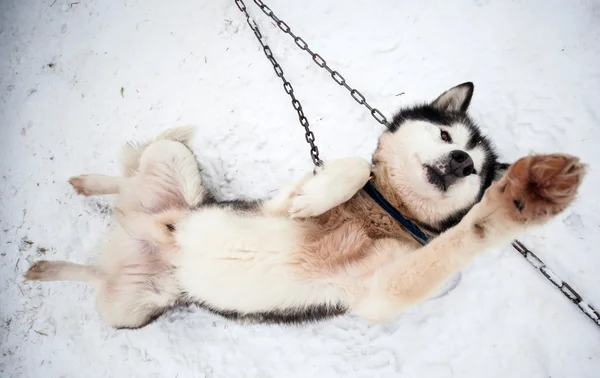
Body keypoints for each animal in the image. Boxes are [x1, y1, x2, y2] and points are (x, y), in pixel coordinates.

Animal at [24, 82, 584, 328]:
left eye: (476, 169)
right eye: (448, 135)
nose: (464, 161)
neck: (388, 211)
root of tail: (138, 232)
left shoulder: (376, 292)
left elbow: (458, 244)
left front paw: (518, 204)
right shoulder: (280, 200)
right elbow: (350, 167)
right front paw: (323, 193)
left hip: (129, 307)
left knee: (97, 270)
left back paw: (49, 267)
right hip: (174, 168)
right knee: (131, 175)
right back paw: (90, 185)